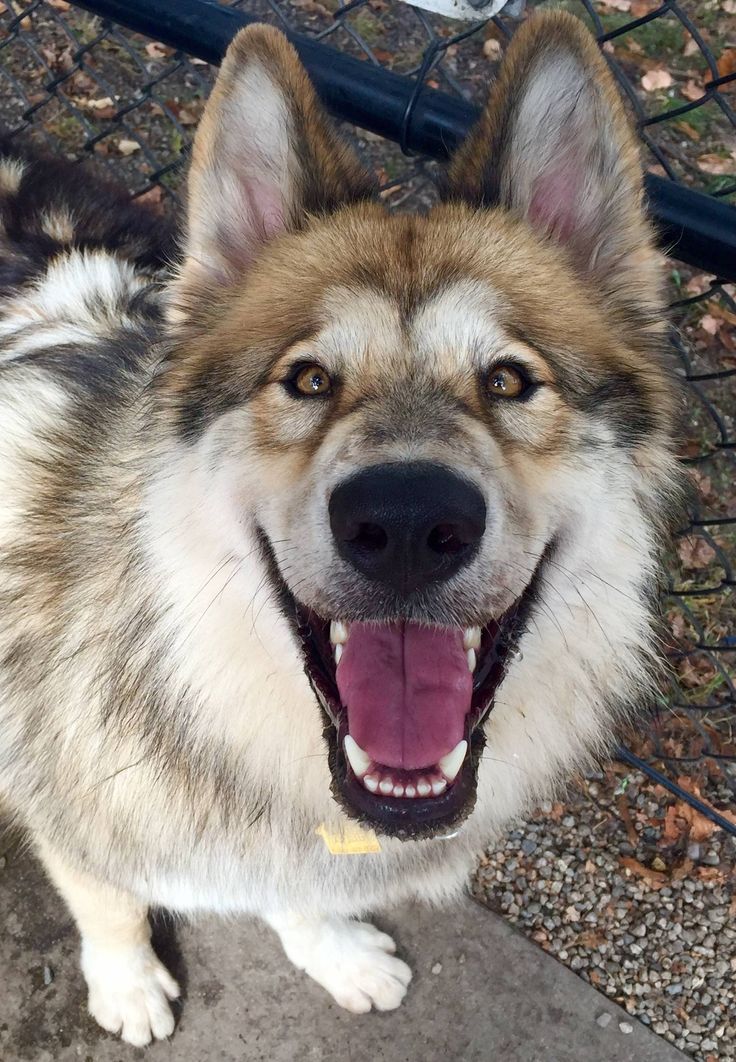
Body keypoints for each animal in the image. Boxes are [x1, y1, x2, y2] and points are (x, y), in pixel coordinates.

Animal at [0, 12, 679, 1049]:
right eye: (309, 380)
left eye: (510, 380)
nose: (404, 522)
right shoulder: (62, 795)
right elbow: (105, 896)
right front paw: (127, 984)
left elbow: (302, 892)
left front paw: (337, 953)